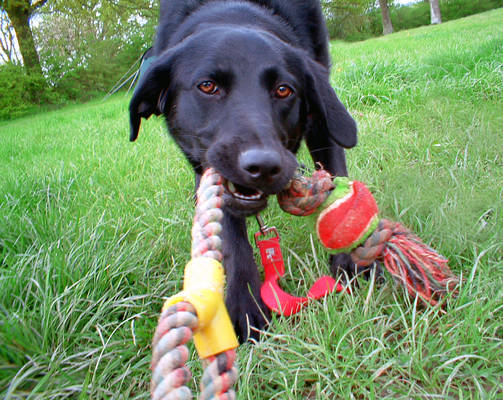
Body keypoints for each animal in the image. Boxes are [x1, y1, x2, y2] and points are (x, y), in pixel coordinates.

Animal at [130, 0, 358, 342]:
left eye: (283, 89)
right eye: (207, 86)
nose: (263, 166)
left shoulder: (323, 123)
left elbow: (337, 191)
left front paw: (352, 256)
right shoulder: (210, 174)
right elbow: (230, 235)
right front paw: (245, 302)